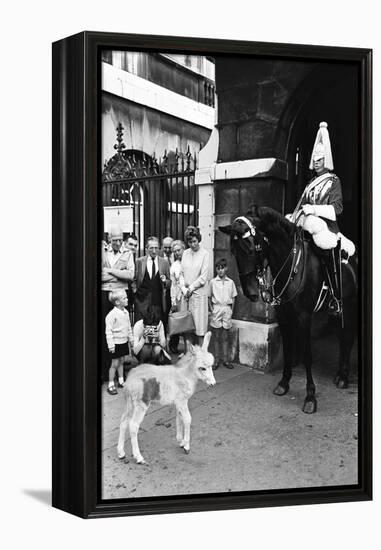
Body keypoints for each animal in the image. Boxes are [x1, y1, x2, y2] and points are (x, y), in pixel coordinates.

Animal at [220, 207, 356, 414]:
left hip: (347, 308)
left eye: (251, 247)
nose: (250, 293)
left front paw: (310, 396)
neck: (291, 266)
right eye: (234, 251)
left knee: (347, 338)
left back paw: (343, 377)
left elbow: (307, 356)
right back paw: (340, 374)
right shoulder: (284, 316)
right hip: (335, 314)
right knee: (342, 338)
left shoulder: (304, 318)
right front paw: (284, 383)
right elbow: (287, 350)